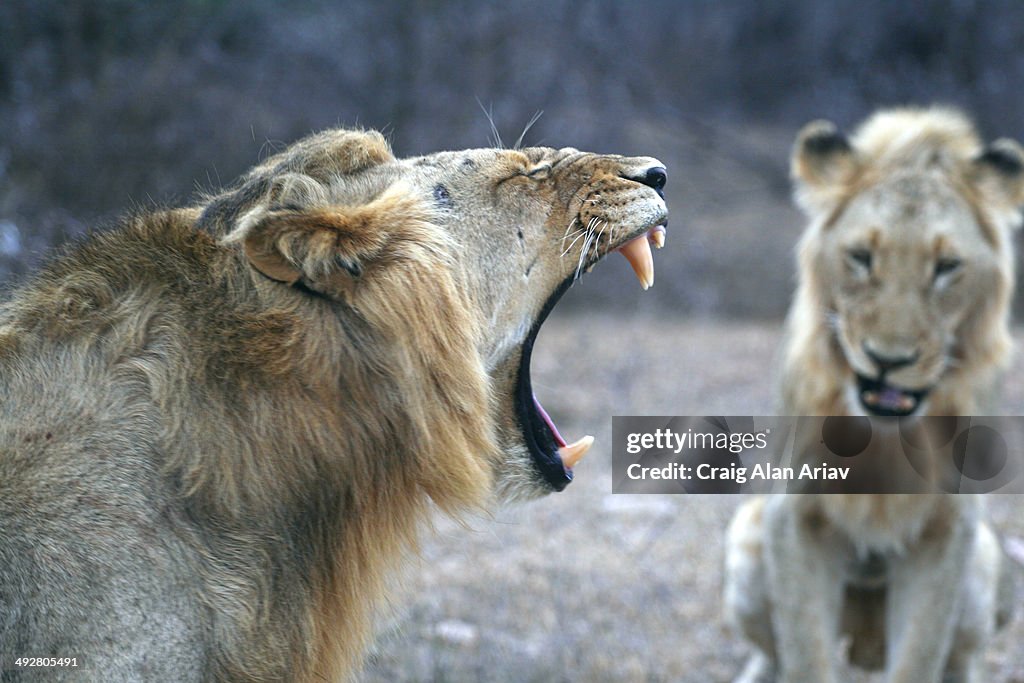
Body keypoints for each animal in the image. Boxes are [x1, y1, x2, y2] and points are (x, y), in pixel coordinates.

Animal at [724, 108, 1024, 683]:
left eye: (947, 266)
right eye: (861, 257)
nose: (888, 360)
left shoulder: (948, 527)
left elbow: (921, 654)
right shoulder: (793, 515)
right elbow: (805, 654)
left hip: (981, 567)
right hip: (745, 545)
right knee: (770, 655)